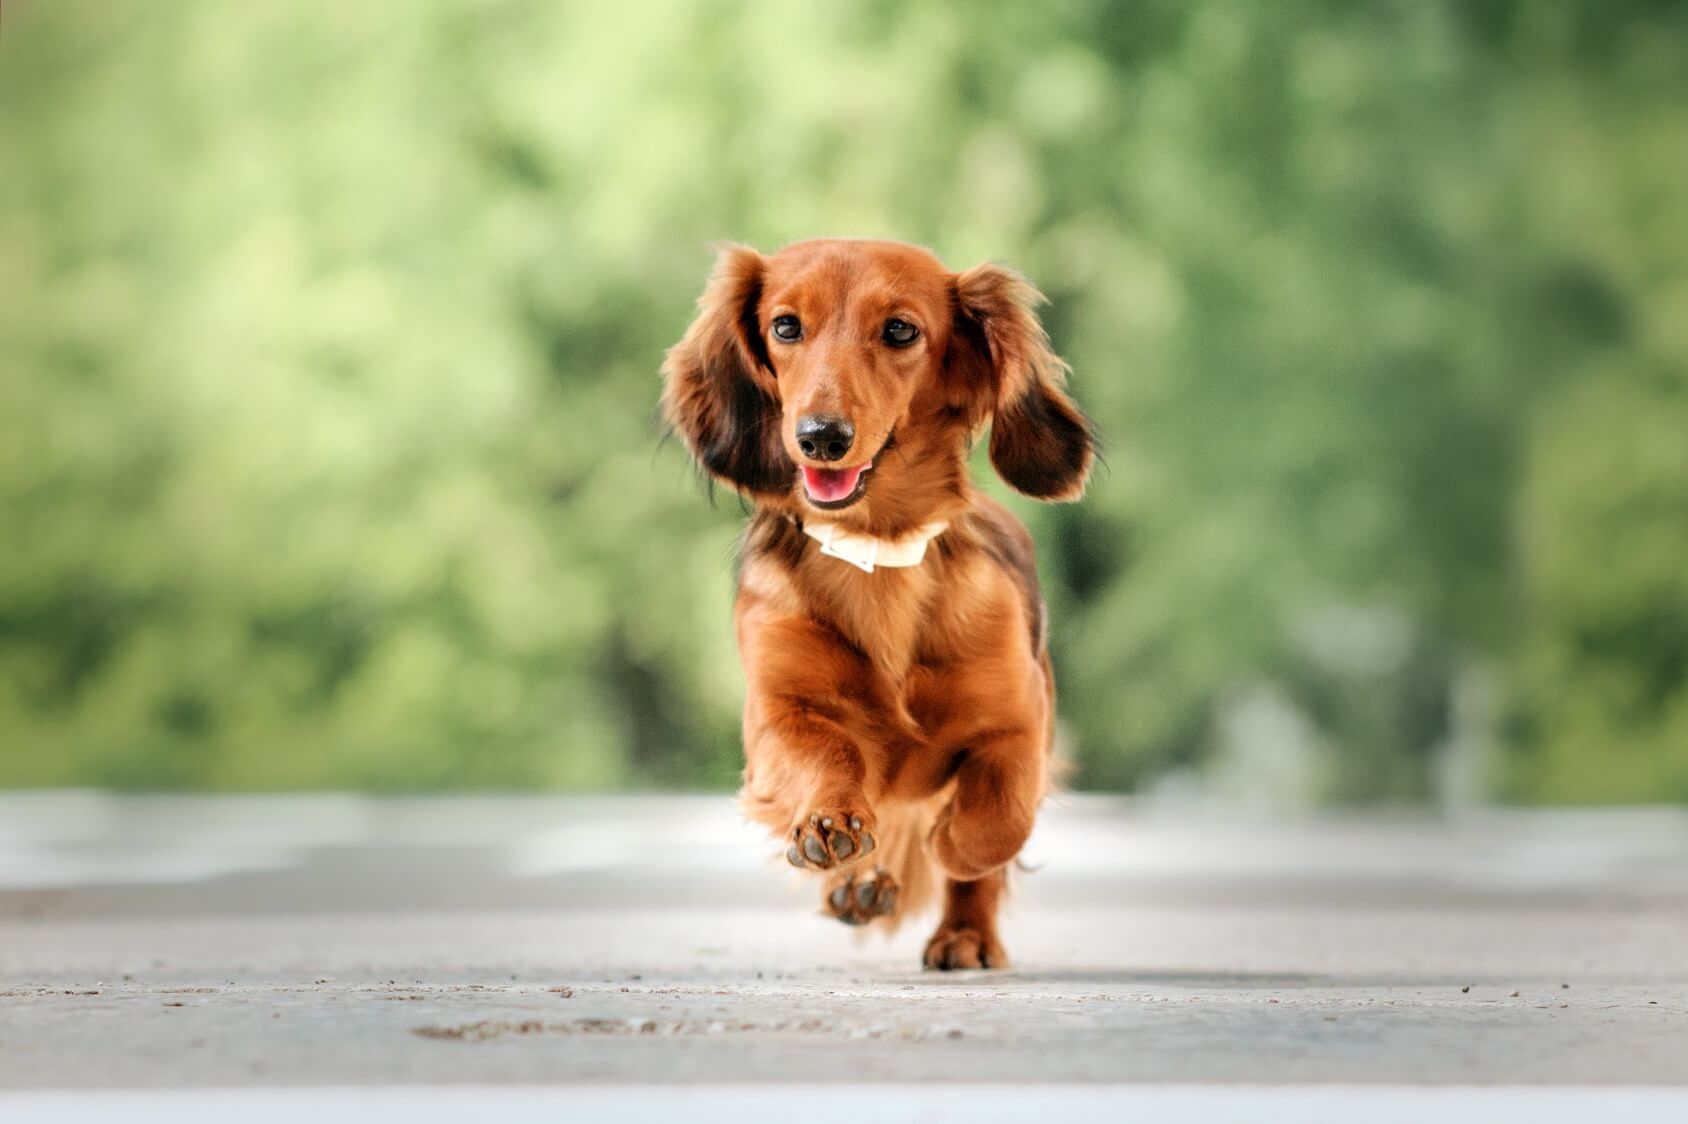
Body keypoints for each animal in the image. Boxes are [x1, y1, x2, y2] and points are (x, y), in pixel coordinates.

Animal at [661, 241, 1093, 965]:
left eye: (899, 330)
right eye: (785, 326)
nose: (821, 436)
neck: (877, 555)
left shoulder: (1021, 717)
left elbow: (999, 819)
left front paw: (952, 842)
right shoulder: (775, 711)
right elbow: (824, 752)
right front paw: (829, 822)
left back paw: (963, 935)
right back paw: (858, 884)